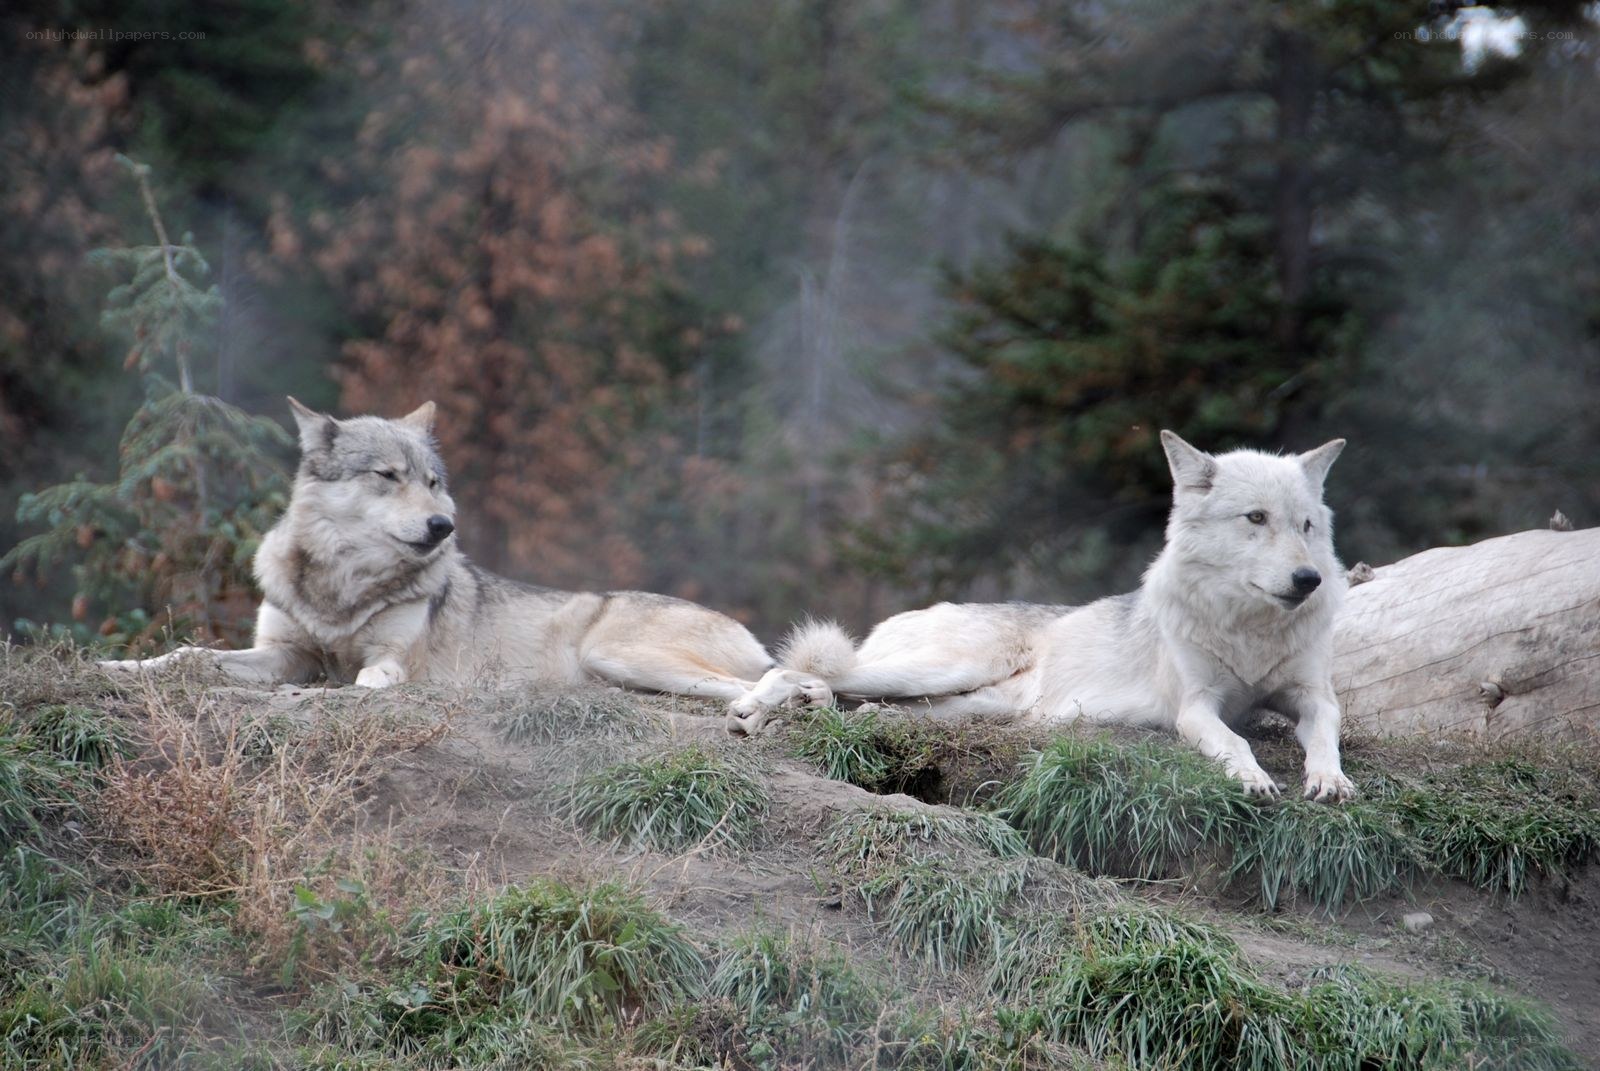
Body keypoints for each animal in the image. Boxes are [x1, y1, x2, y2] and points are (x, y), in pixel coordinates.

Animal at [100, 398, 831, 715]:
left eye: (433, 480)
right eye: (388, 476)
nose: (443, 524)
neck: (345, 587)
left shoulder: (388, 657)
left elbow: (369, 679)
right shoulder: (284, 653)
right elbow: (190, 656)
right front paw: (122, 665)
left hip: (622, 655)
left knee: (774, 678)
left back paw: (768, 707)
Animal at [736, 431, 1355, 800]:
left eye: (1305, 526)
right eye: (1256, 518)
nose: (1309, 579)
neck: (1250, 630)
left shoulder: (1312, 695)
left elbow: (1328, 731)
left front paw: (1330, 778)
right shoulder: (1197, 707)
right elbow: (1236, 742)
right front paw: (1253, 777)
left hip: (967, 703)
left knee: (860, 701)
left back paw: (822, 706)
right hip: (937, 670)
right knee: (794, 668)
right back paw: (753, 712)